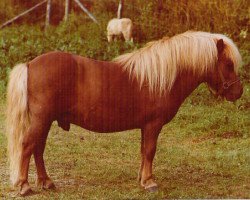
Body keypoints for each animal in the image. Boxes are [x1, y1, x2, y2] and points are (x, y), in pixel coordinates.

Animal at [5, 31, 242, 195]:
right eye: (228, 63)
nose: (238, 92)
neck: (162, 77)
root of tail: (30, 65)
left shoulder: (146, 126)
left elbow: (143, 151)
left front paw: (142, 178)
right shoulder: (153, 124)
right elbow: (150, 150)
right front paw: (149, 182)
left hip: (46, 120)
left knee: (38, 148)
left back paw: (46, 182)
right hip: (41, 119)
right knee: (28, 145)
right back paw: (25, 186)